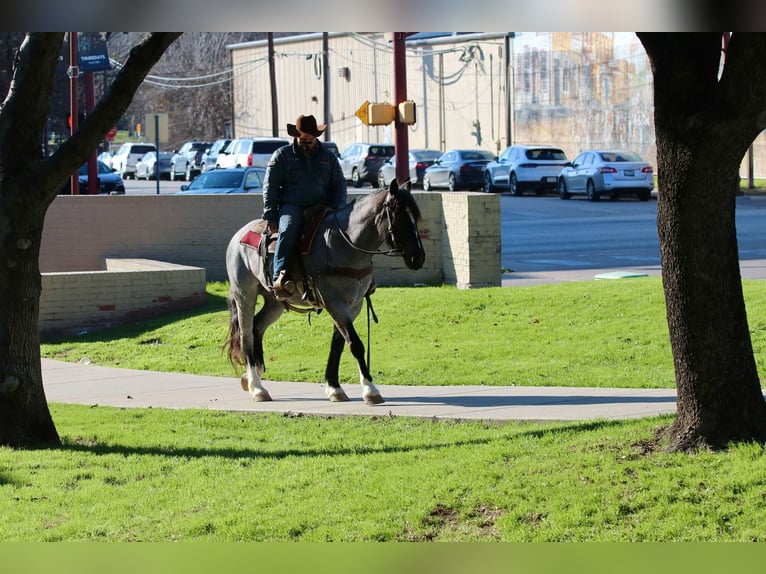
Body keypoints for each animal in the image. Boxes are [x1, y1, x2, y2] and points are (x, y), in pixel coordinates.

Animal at [225, 179, 426, 405]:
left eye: (415, 216)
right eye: (399, 216)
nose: (418, 257)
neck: (344, 244)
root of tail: (238, 236)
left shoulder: (354, 305)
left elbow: (338, 344)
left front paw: (334, 388)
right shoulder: (334, 302)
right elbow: (355, 344)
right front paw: (370, 390)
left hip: (275, 302)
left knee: (257, 326)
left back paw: (253, 376)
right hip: (245, 296)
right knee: (246, 335)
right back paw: (257, 387)